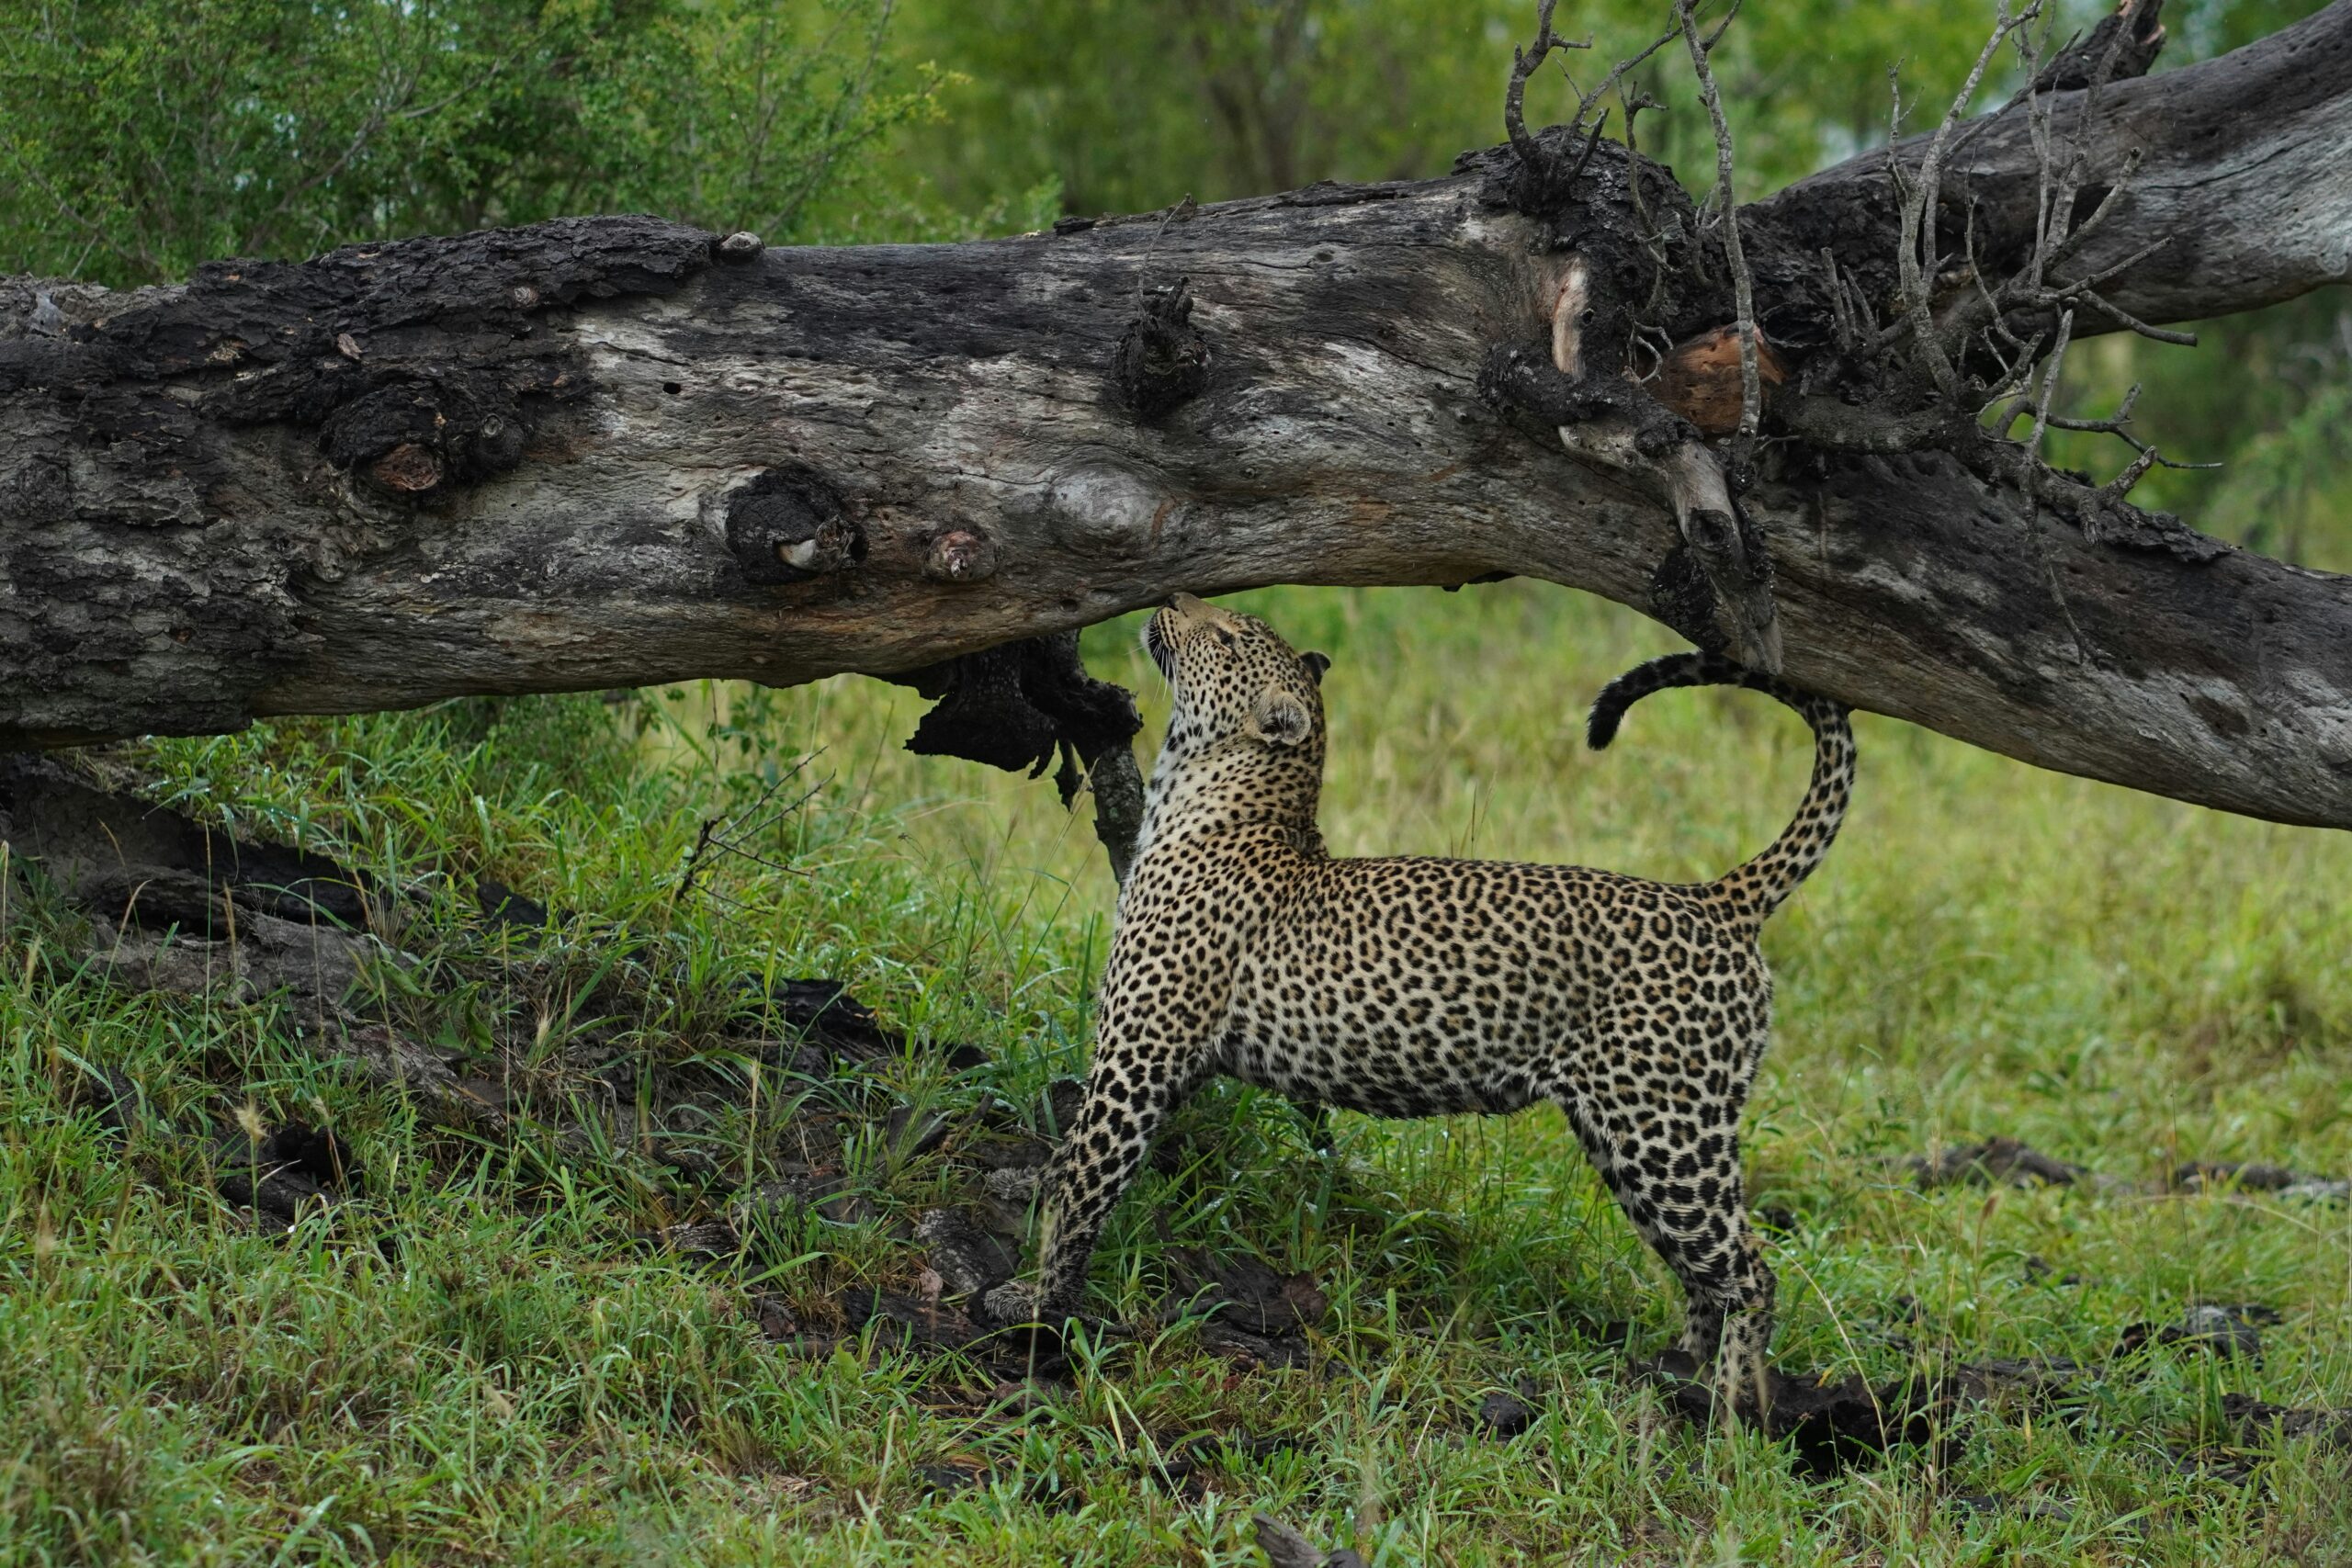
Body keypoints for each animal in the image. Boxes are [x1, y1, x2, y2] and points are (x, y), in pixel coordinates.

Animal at [983, 592, 1855, 1406]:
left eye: (1227, 634)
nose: (1171, 596)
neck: (1198, 796)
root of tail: (1715, 898)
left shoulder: (1140, 1056)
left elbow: (1086, 1180)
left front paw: (1034, 1298)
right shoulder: (1162, 1059)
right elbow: (1071, 1158)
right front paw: (1021, 1192)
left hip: (1668, 1129)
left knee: (1752, 1273)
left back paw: (1729, 1409)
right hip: (1631, 1137)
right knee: (1707, 1272)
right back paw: (1679, 1371)